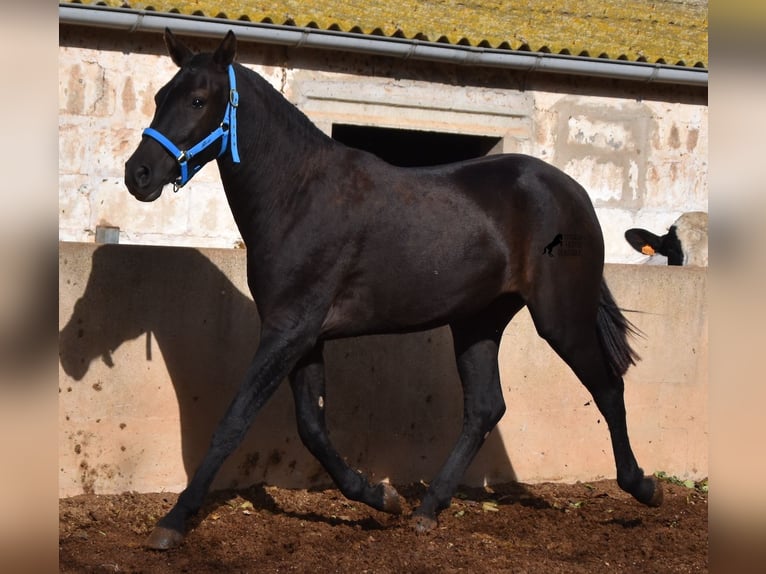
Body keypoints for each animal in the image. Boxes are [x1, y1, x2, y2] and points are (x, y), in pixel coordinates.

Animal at [124, 29, 660, 552]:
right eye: (159, 96)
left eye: (198, 100)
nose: (138, 174)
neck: (298, 196)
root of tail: (575, 193)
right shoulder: (303, 336)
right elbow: (313, 427)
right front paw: (381, 498)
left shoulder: (288, 332)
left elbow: (233, 422)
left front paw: (173, 522)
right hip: (476, 322)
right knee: (485, 408)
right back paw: (427, 510)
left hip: (560, 318)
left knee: (608, 387)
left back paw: (643, 487)